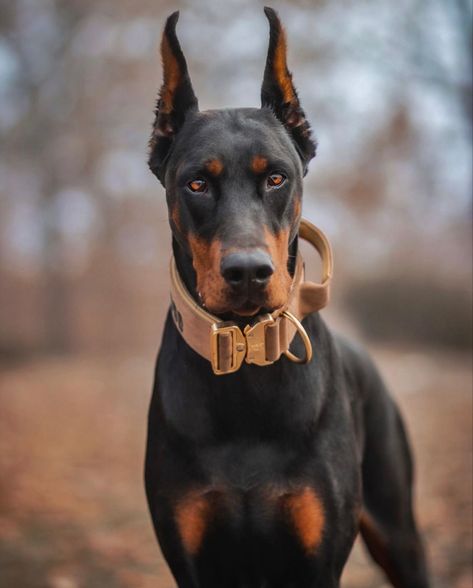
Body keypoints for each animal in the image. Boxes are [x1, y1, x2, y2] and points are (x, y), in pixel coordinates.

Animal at [146, 9, 430, 588]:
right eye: (196, 184)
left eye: (276, 177)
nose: (248, 272)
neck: (245, 364)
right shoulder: (191, 558)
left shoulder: (316, 559)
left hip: (398, 531)